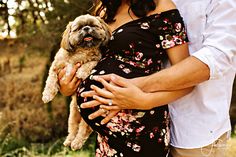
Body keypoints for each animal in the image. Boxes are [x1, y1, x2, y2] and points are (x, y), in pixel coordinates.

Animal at [41, 14, 110, 150]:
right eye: (78, 28)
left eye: (93, 25)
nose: (86, 28)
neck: (81, 51)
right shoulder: (56, 66)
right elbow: (50, 80)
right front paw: (47, 95)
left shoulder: (96, 60)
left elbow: (89, 64)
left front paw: (81, 72)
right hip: (72, 115)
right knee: (73, 129)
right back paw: (69, 140)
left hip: (86, 116)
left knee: (83, 131)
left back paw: (76, 143)